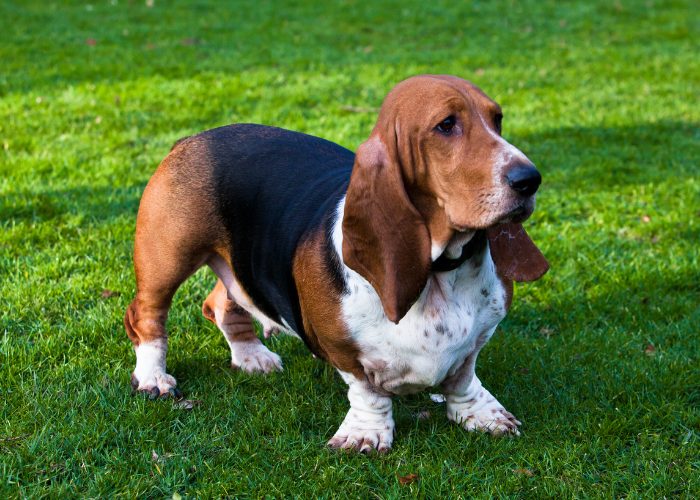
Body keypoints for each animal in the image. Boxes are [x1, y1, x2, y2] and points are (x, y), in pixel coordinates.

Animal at [127, 74, 552, 454]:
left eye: (497, 118)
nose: (530, 179)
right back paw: (153, 377)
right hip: (168, 257)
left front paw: (483, 414)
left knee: (220, 301)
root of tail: (193, 138)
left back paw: (251, 356)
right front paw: (366, 434)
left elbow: (463, 377)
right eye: (446, 125)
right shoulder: (342, 348)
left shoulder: (479, 335)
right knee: (145, 315)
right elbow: (366, 391)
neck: (439, 270)